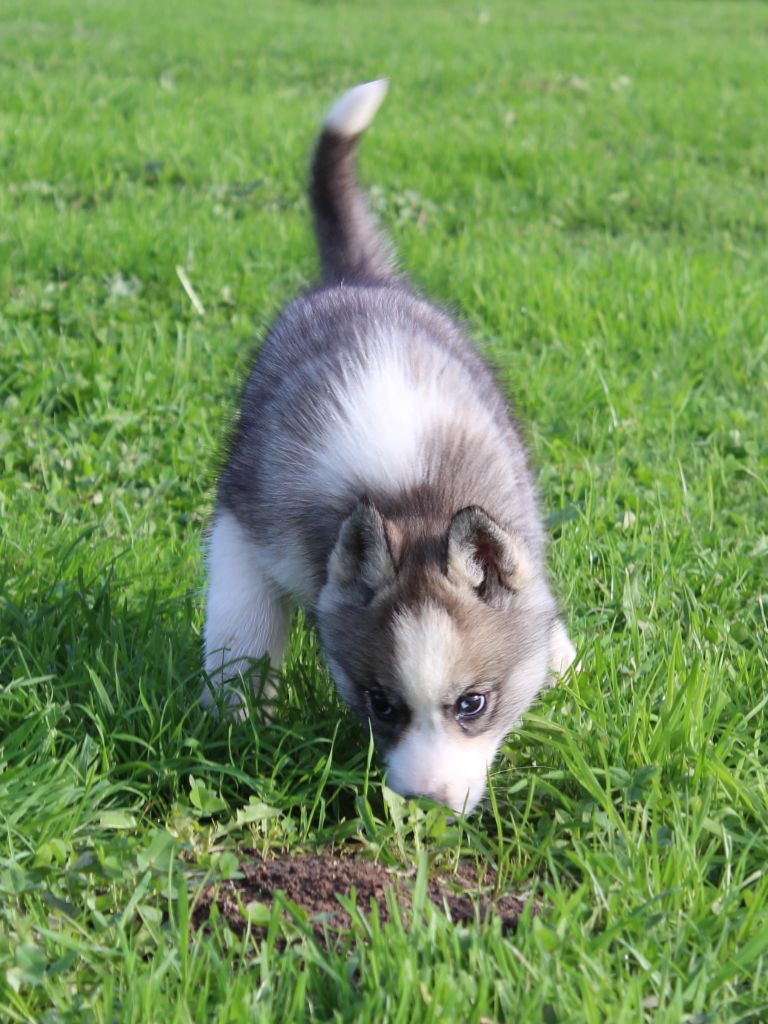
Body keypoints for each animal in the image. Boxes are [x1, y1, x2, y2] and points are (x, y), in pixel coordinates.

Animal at [204, 79, 577, 811]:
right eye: (381, 704)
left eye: (472, 704)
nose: (426, 806)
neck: (411, 497)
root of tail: (358, 280)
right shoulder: (249, 525)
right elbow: (242, 624)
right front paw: (236, 721)